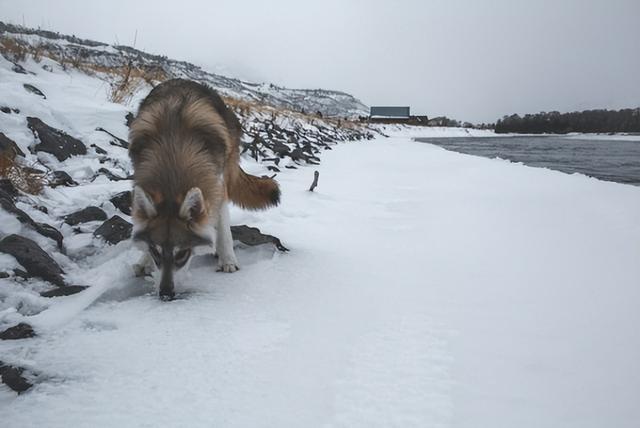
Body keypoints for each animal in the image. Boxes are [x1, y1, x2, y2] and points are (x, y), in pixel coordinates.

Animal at [128, 78, 280, 300]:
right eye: (156, 252)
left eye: (182, 254)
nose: (165, 294)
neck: (174, 155)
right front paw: (144, 260)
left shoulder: (217, 186)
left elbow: (224, 230)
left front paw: (228, 260)